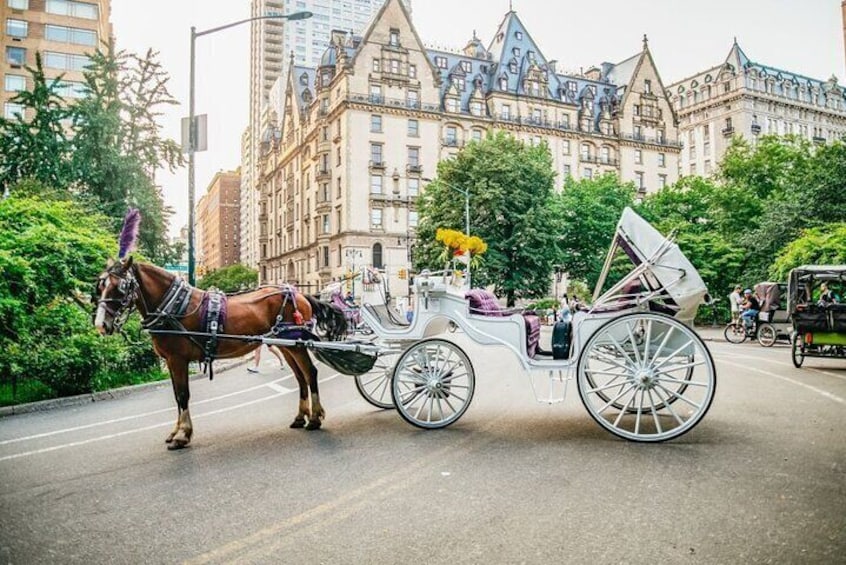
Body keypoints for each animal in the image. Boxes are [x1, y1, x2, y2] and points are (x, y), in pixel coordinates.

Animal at [93, 256, 344, 450]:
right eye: (100, 286)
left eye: (121, 287)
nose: (100, 324)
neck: (173, 307)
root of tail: (299, 294)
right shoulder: (172, 361)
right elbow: (176, 396)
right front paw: (176, 432)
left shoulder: (177, 359)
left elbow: (182, 395)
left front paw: (182, 435)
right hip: (286, 344)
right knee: (301, 377)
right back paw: (301, 417)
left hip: (296, 344)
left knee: (310, 373)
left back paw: (315, 417)